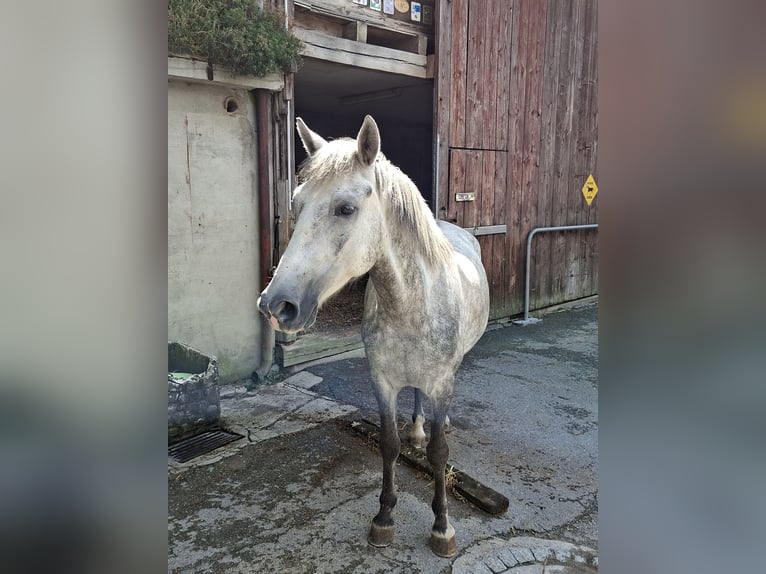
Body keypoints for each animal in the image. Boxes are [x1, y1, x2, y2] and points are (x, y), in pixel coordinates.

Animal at [257, 115, 489, 557]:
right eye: (296, 204)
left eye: (346, 208)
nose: (277, 306)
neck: (411, 305)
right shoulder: (382, 381)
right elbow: (390, 445)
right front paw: (384, 518)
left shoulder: (441, 381)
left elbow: (438, 454)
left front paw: (442, 527)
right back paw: (417, 427)